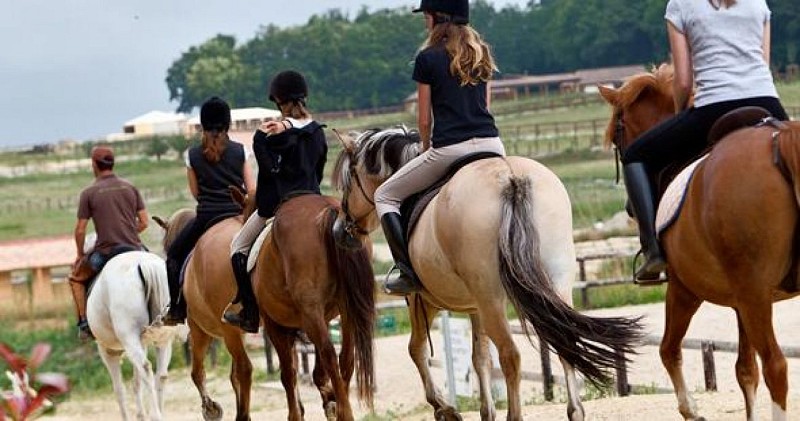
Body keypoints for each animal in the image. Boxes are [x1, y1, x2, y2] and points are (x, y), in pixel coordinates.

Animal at [85, 249, 177, 420]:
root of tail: (144, 263)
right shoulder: (141, 344)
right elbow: (136, 383)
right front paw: (140, 415)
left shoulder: (108, 352)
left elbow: (119, 390)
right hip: (162, 340)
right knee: (161, 375)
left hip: (129, 339)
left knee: (146, 369)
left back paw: (155, 415)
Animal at [155, 210, 255, 420]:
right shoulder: (238, 333)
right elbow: (233, 376)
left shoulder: (199, 331)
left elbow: (197, 373)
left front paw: (210, 408)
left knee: (245, 369)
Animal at [250, 194, 376, 420]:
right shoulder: (319, 317)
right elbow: (316, 371)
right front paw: (329, 398)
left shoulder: (275, 326)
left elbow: (288, 374)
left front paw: (296, 414)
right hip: (344, 309)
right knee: (345, 356)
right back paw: (340, 403)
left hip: (308, 315)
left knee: (328, 354)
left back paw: (343, 410)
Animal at [332, 128, 644, 420]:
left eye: (348, 183)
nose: (339, 230)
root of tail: (510, 178)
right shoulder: (474, 307)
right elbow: (480, 357)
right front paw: (485, 411)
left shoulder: (423, 301)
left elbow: (417, 349)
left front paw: (444, 407)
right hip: (552, 283)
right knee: (564, 339)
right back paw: (575, 411)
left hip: (490, 298)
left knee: (510, 354)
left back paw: (514, 415)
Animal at [600, 64, 800, 418]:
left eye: (618, 136)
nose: (628, 209)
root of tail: (780, 142)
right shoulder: (742, 302)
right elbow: (745, 370)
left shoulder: (684, 290)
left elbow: (668, 349)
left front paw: (691, 410)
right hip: (754, 297)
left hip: (750, 294)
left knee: (776, 366)